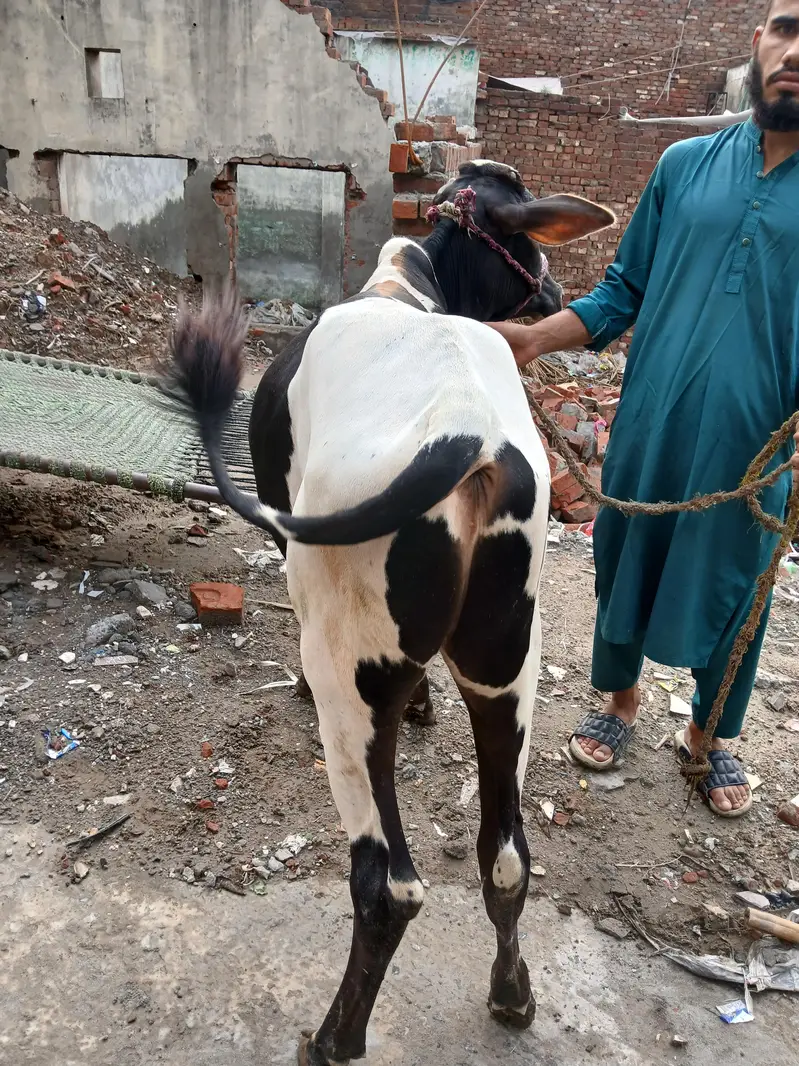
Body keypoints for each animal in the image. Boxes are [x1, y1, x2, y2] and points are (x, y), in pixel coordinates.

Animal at [166, 160, 615, 1065]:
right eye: (521, 236)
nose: (555, 290)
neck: (408, 288)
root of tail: (469, 440)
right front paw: (426, 707)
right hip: (508, 666)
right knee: (505, 856)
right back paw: (511, 994)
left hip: (349, 669)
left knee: (389, 884)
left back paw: (334, 1037)